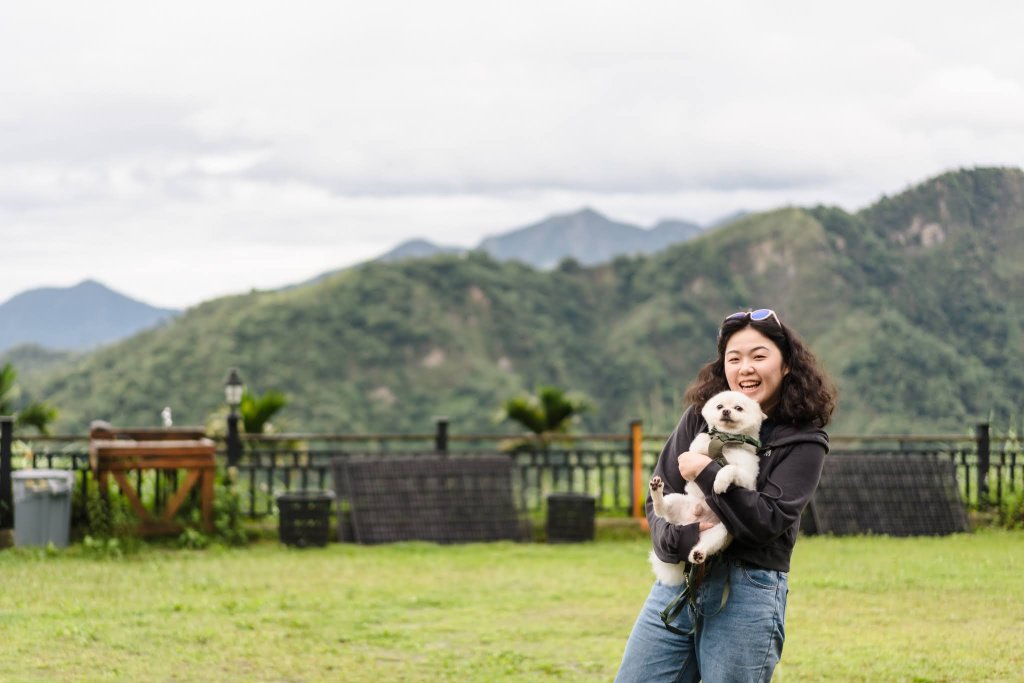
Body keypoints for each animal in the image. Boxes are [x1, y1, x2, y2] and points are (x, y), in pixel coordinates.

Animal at [643, 393, 765, 585]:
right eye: (719, 406)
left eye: (739, 408)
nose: (726, 411)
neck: (726, 442)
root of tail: (687, 522)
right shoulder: (696, 450)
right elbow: (701, 442)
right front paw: (706, 441)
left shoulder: (747, 478)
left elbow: (729, 468)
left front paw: (719, 482)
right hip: (676, 501)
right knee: (661, 509)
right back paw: (656, 490)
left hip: (721, 531)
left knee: (703, 547)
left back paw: (698, 554)